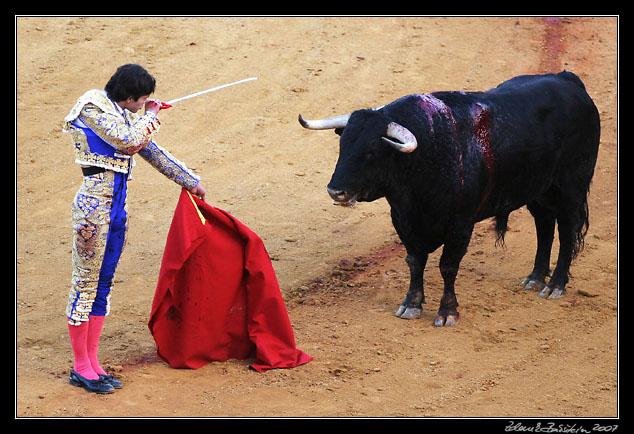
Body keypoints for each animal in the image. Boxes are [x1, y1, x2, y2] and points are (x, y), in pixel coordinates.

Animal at [296, 72, 596, 326]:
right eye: (342, 145)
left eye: (372, 152)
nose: (336, 191)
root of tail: (569, 79)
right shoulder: (403, 220)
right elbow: (415, 262)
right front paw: (411, 305)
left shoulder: (461, 224)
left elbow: (448, 266)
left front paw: (447, 312)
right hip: (537, 191)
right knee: (544, 226)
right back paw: (534, 278)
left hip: (572, 188)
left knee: (566, 231)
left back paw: (555, 285)